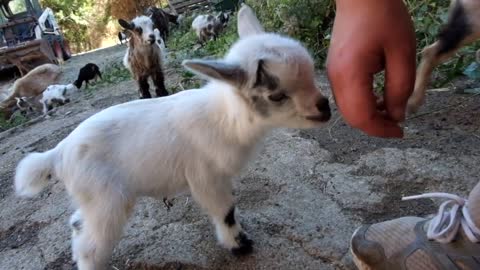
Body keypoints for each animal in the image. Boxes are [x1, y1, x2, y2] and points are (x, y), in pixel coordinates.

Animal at [14, 4, 330, 270]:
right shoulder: (206, 177)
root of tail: (57, 153)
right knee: (91, 248)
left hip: (93, 200)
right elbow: (225, 211)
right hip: (107, 201)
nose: (325, 108)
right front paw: (240, 246)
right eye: (276, 96)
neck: (225, 118)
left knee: (80, 225)